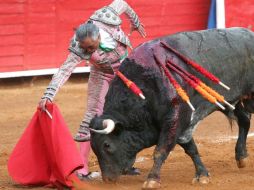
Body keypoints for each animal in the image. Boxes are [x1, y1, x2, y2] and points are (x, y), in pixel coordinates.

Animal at [89, 27, 254, 189]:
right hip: (231, 101)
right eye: (93, 147)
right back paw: (241, 157)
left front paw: (152, 180)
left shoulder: (174, 119)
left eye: (107, 145)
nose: (107, 180)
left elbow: (161, 149)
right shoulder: (182, 123)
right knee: (244, 121)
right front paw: (202, 175)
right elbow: (191, 149)